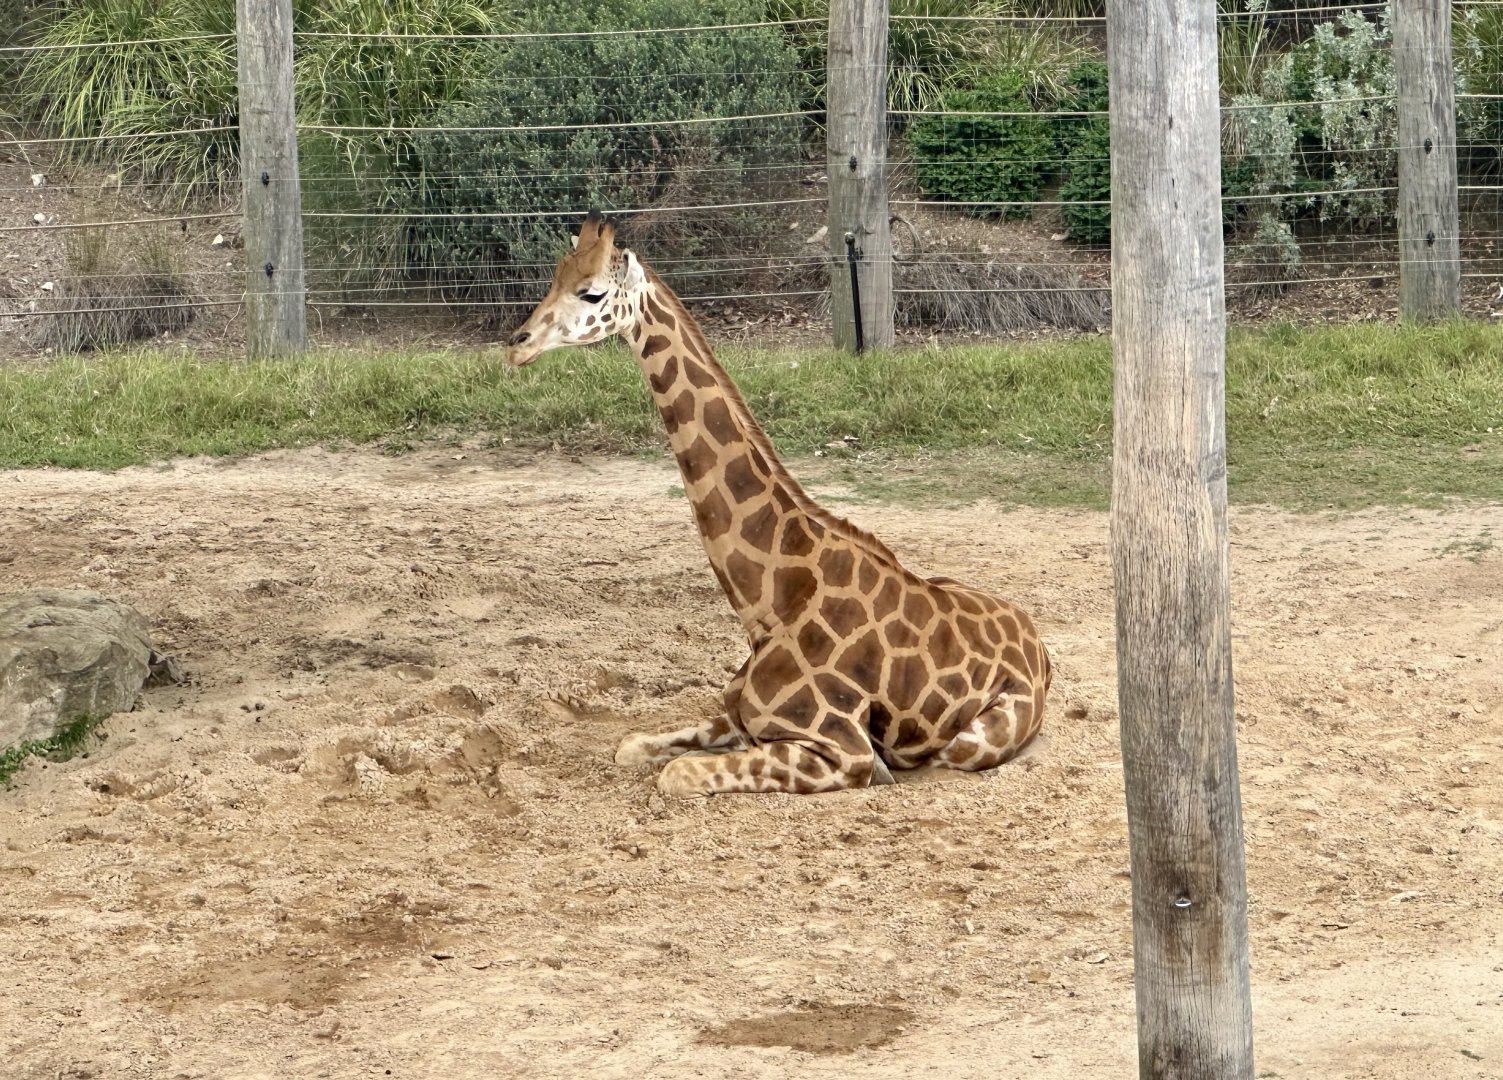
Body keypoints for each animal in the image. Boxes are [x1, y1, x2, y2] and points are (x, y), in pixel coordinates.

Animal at [504, 210, 1052, 798]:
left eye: (592, 292)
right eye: (555, 278)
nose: (516, 345)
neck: (768, 605)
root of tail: (1041, 648)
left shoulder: (843, 751)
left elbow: (677, 773)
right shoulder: (736, 716)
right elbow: (633, 746)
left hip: (971, 741)